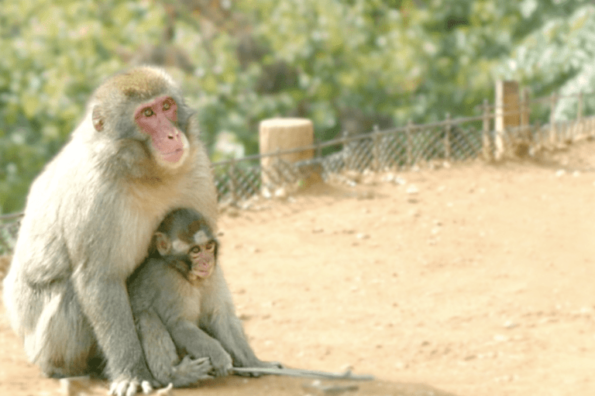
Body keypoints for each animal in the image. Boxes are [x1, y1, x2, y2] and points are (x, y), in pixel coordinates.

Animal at [1, 67, 220, 396]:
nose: (171, 134)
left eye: (167, 106)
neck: (147, 173)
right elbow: (100, 279)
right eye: (147, 114)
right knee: (71, 296)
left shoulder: (198, 171)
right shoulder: (96, 196)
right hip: (41, 343)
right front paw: (132, 373)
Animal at [129, 207, 278, 386]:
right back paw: (174, 375)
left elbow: (221, 317)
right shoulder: (168, 280)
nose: (207, 262)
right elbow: (178, 324)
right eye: (195, 250)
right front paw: (219, 356)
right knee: (145, 316)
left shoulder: (214, 273)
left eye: (208, 246)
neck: (186, 275)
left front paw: (255, 363)